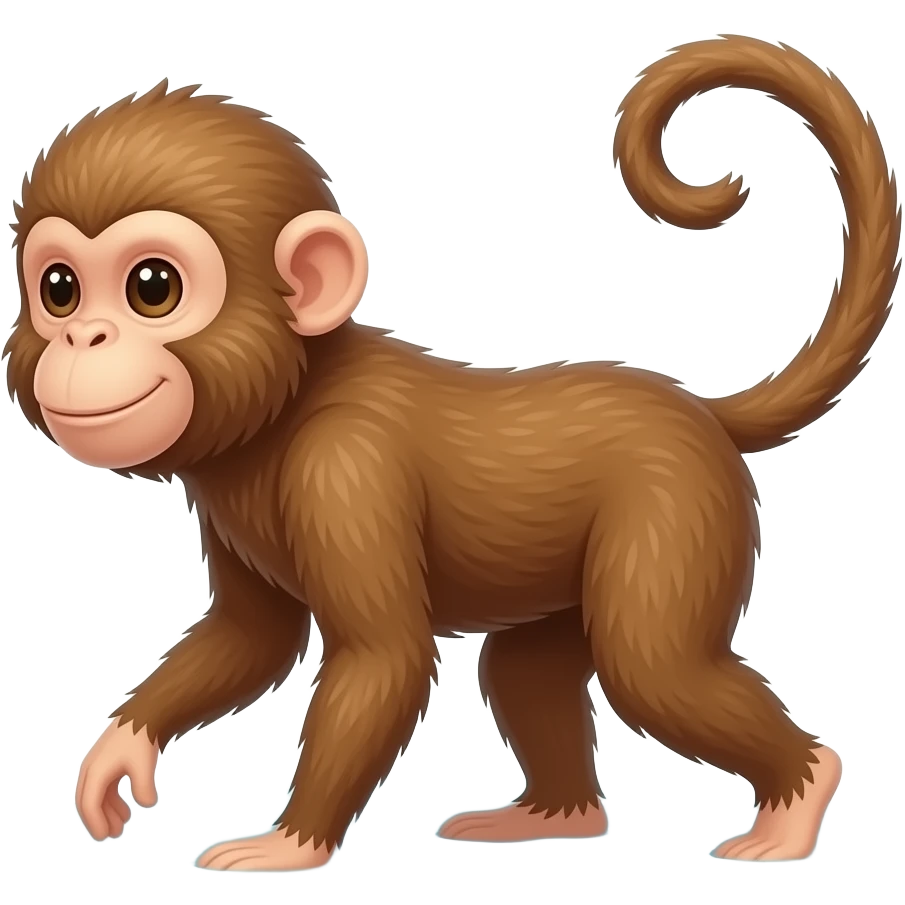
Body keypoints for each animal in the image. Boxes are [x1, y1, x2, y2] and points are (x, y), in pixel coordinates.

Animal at [4, 35, 899, 872]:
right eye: (59, 290)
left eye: (152, 287)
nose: (84, 336)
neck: (282, 403)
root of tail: (697, 409)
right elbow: (250, 639)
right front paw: (119, 750)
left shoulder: (345, 469)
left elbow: (383, 658)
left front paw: (290, 843)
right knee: (526, 669)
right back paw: (555, 815)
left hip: (678, 506)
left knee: (654, 667)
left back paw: (797, 801)